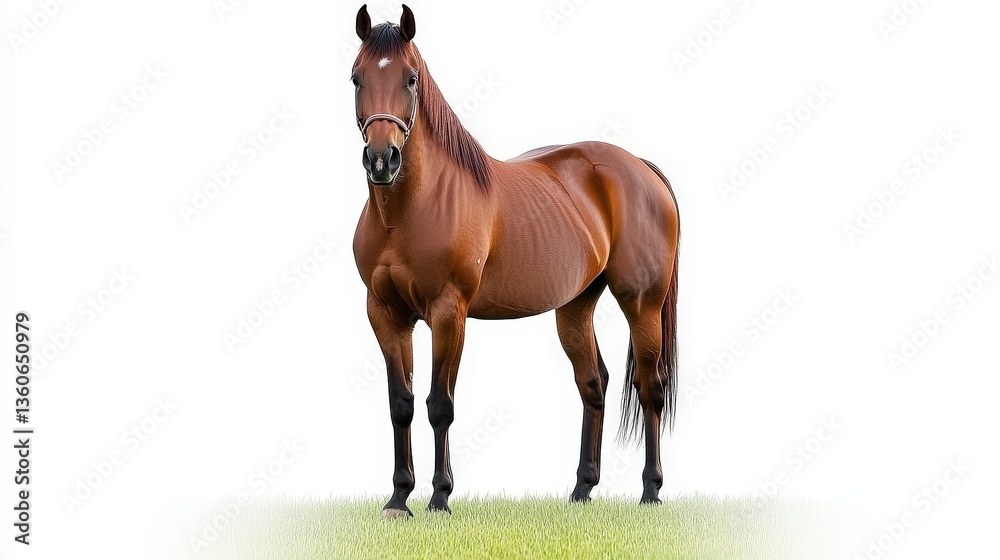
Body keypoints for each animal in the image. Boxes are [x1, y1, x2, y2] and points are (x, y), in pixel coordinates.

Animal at [350, 5, 680, 517]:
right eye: (356, 78)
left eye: (410, 78)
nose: (382, 160)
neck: (409, 212)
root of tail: (642, 168)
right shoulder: (385, 314)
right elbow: (400, 404)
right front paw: (399, 499)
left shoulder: (449, 313)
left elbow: (439, 404)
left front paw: (440, 498)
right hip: (575, 306)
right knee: (594, 383)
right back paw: (581, 490)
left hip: (642, 304)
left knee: (650, 388)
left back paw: (650, 491)